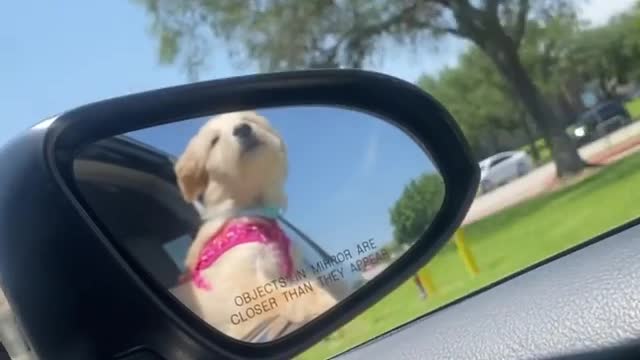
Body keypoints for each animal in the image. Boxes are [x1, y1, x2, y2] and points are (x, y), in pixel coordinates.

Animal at [170, 111, 340, 342]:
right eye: (214, 141)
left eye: (247, 119)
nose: (243, 129)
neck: (252, 208)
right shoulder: (245, 291)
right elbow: (290, 294)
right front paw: (325, 302)